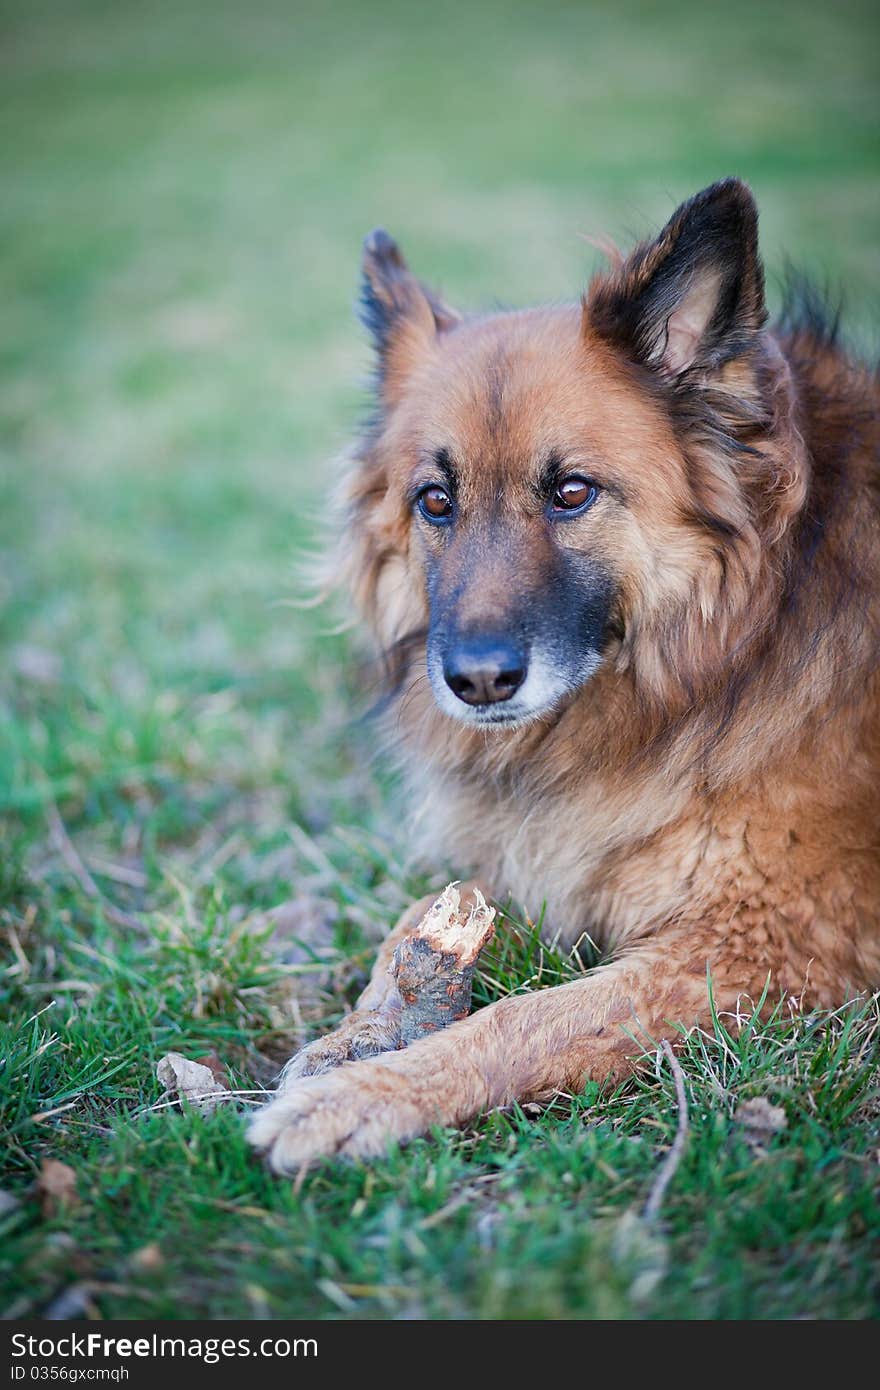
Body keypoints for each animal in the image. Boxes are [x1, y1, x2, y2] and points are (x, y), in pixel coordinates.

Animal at [247, 179, 878, 1167]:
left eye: (572, 492)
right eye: (436, 501)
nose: (475, 683)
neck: (736, 641)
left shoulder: (764, 942)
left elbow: (523, 1019)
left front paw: (359, 1097)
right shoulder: (547, 844)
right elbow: (410, 926)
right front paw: (356, 1038)